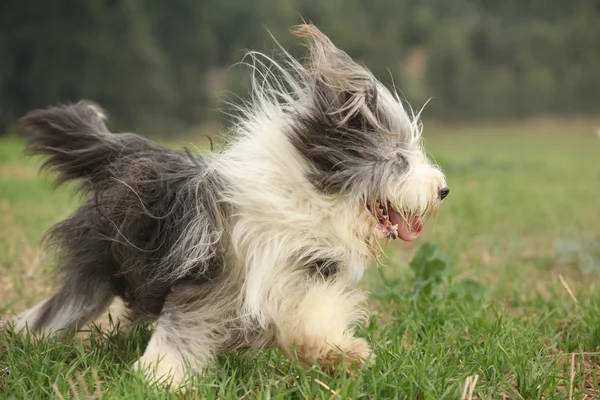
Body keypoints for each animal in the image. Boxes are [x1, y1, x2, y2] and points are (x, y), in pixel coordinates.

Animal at [9, 25, 448, 388]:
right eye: (400, 160)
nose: (442, 190)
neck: (308, 196)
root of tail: (124, 151)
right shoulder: (210, 272)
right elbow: (181, 327)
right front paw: (157, 378)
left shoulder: (299, 274)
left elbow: (310, 318)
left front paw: (340, 354)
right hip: (98, 266)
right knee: (62, 309)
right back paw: (27, 340)